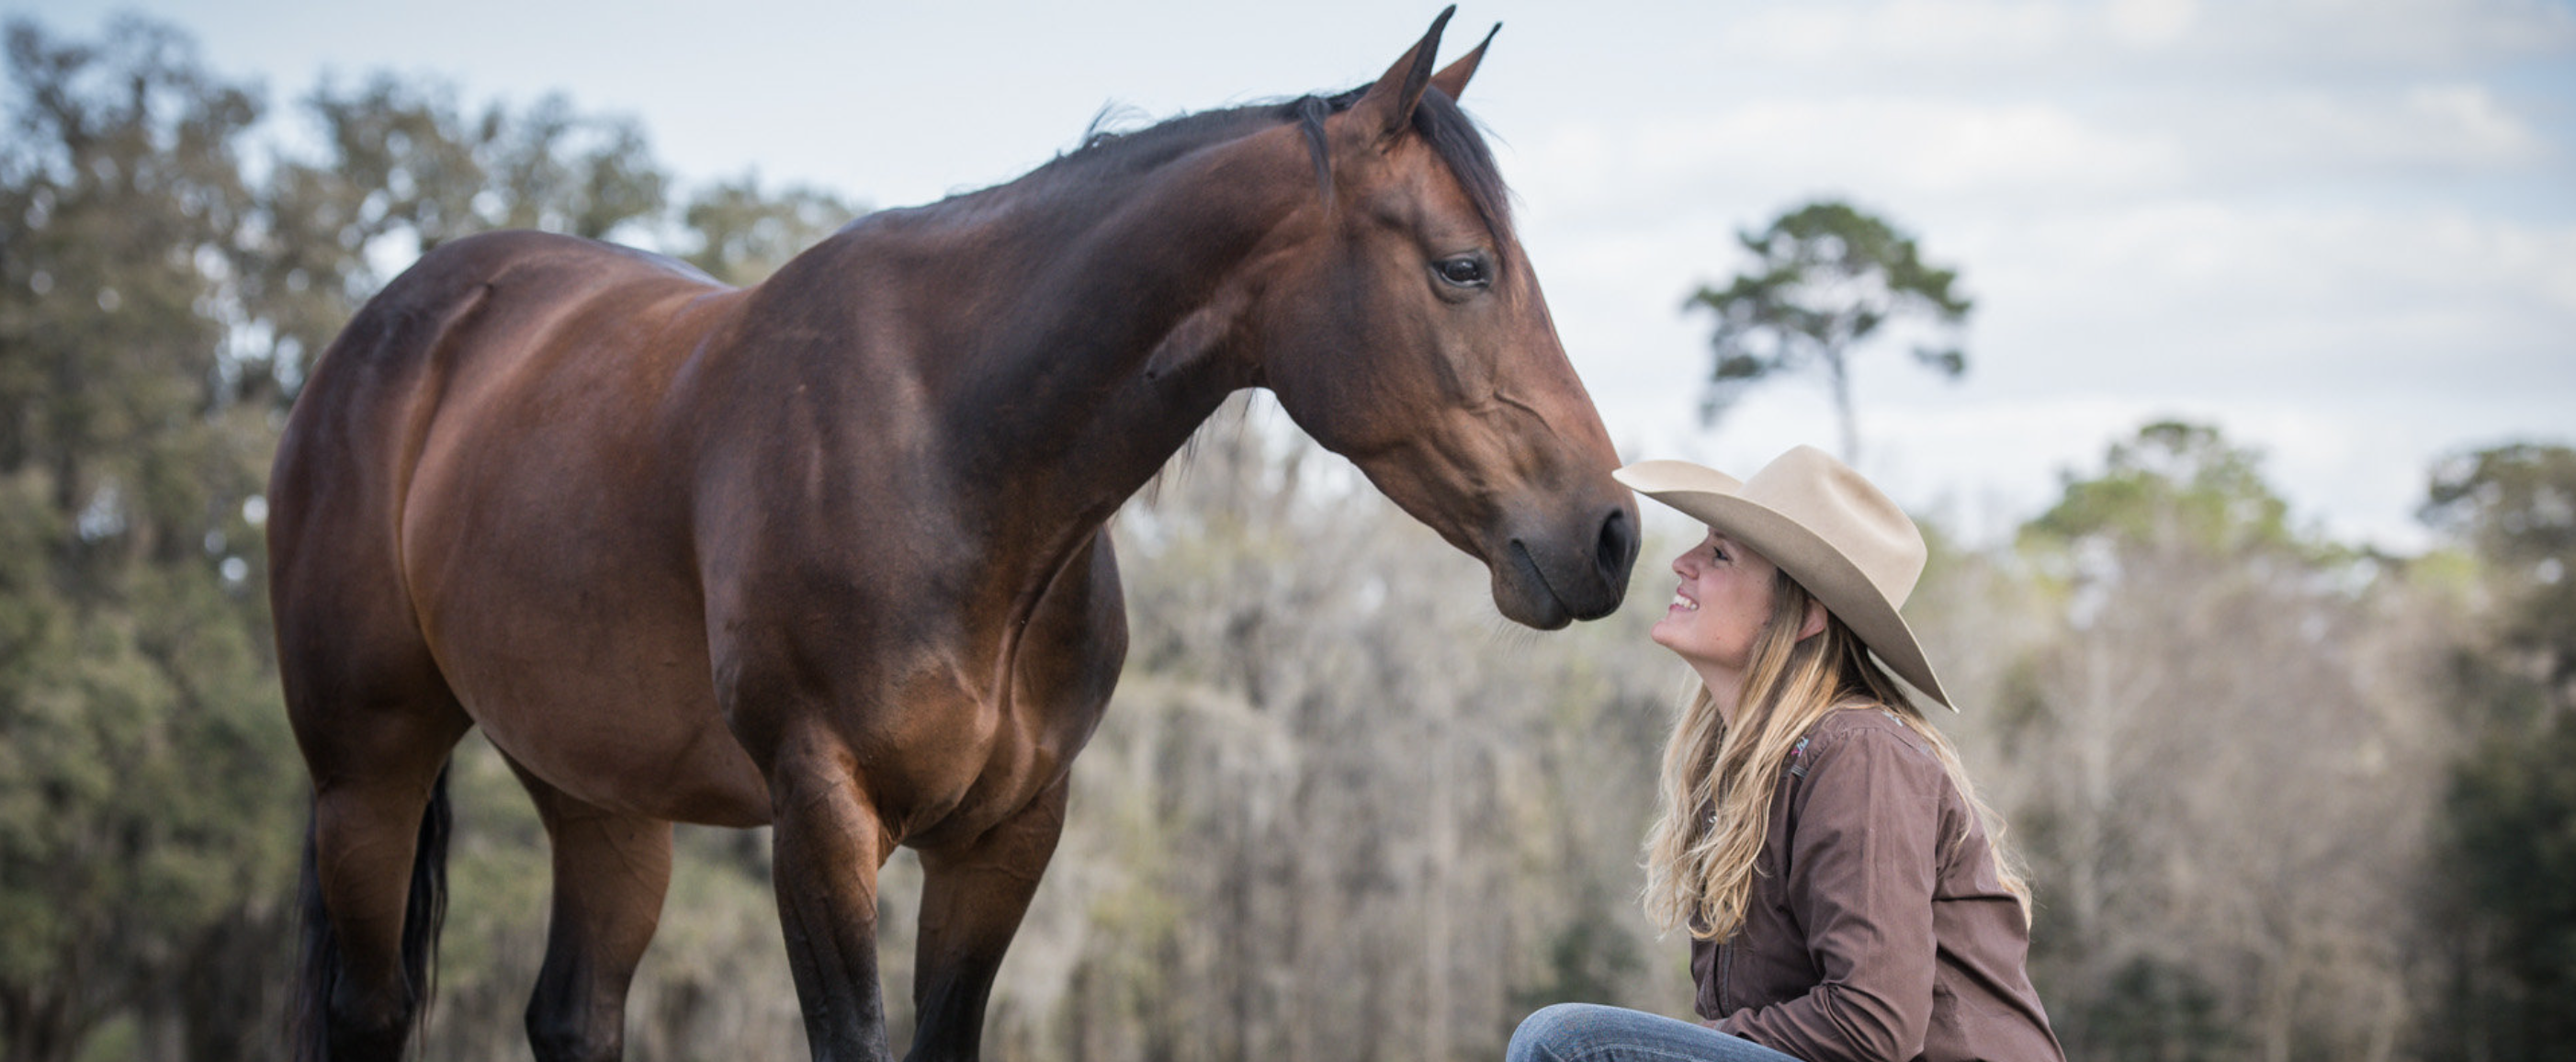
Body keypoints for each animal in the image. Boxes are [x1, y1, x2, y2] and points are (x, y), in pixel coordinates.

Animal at [271, 10, 1638, 1062]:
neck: (954, 448)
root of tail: (399, 323)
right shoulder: (822, 818)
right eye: (1463, 267)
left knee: (573, 1014)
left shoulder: (1004, 836)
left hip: (599, 796)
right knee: (370, 1010)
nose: (1611, 530)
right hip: (367, 772)